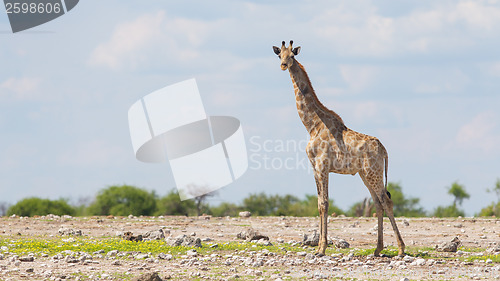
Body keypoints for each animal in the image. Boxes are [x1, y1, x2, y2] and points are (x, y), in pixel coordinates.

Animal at [274, 40, 406, 258]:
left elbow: (324, 203)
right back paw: (378, 248)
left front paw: (321, 248)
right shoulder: (314, 167)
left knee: (386, 201)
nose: (283, 65)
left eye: (292, 56)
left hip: (373, 172)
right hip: (364, 174)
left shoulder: (322, 166)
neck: (312, 125)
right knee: (378, 202)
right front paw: (319, 246)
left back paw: (401, 249)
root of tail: (384, 150)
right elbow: (319, 203)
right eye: (279, 55)